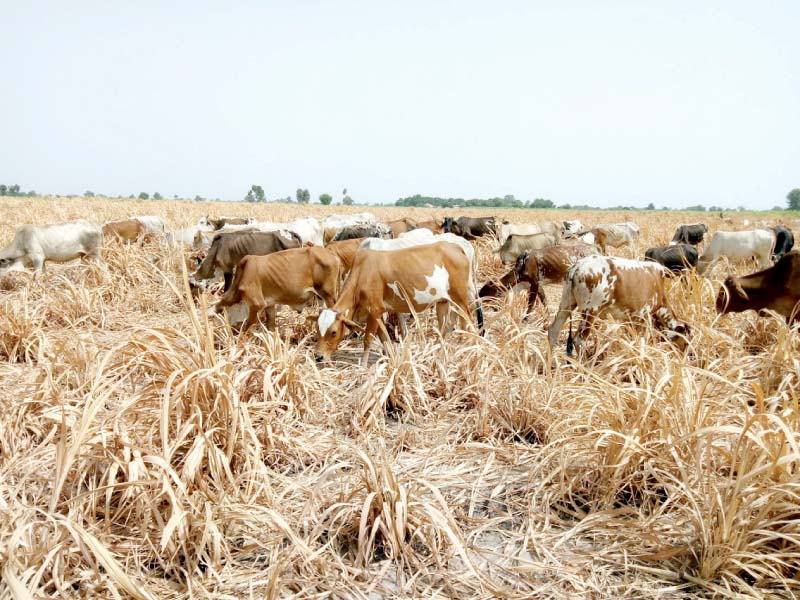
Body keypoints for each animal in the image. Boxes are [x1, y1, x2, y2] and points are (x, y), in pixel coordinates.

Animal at [214, 247, 342, 332]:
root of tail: (333, 255)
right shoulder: (269, 304)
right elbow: (270, 326)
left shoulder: (256, 304)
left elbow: (248, 330)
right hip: (321, 297)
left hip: (328, 294)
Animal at [316, 240, 482, 364]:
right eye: (317, 329)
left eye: (333, 332)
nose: (318, 356)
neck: (362, 273)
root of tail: (456, 246)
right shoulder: (378, 314)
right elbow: (385, 338)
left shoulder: (374, 311)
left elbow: (368, 339)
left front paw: (363, 365)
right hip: (443, 301)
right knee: (445, 327)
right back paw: (437, 352)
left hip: (460, 300)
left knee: (466, 323)